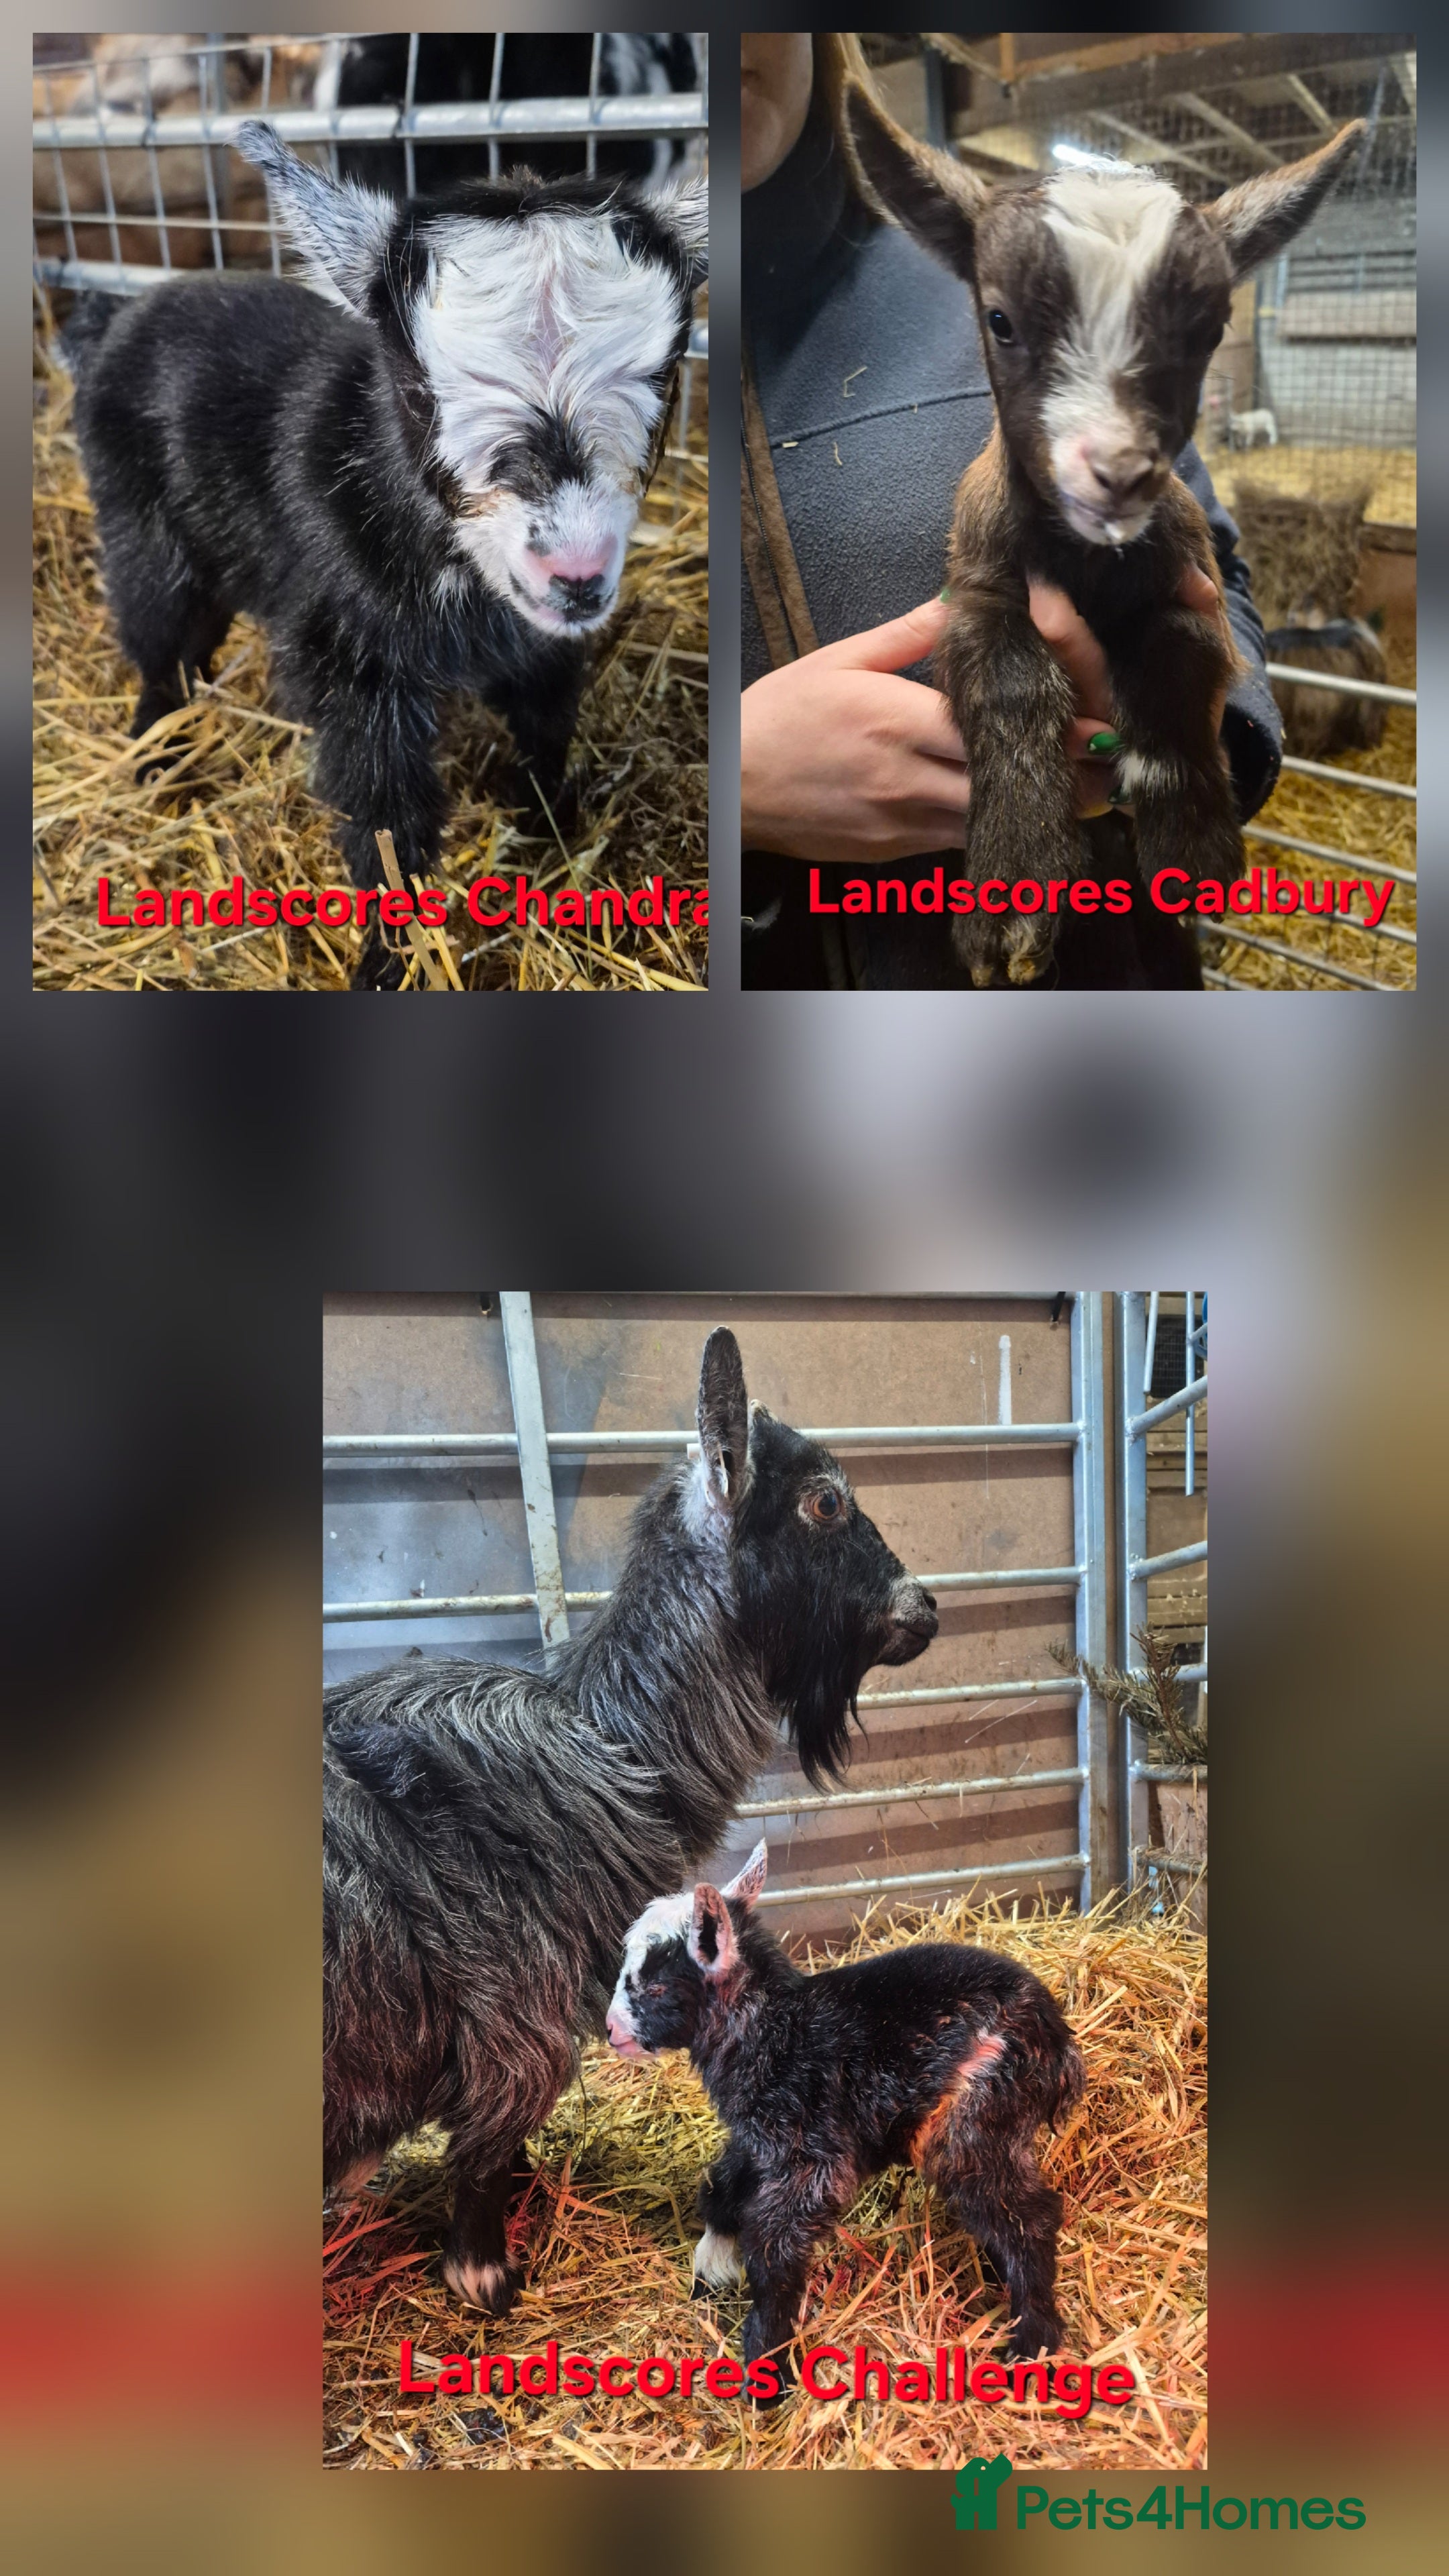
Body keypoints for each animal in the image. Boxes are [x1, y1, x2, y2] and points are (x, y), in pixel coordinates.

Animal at [63, 124, 705, 984]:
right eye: (418, 395)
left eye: (666, 373)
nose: (573, 576)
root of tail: (122, 315)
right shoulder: (350, 664)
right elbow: (385, 813)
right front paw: (390, 958)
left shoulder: (536, 638)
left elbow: (546, 715)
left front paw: (546, 818)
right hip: (136, 515)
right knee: (158, 629)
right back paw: (156, 749)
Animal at [323, 1329, 937, 2313]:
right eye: (825, 1500)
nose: (926, 1608)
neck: (611, 1745)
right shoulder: (515, 2023)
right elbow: (485, 2151)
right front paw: (487, 2276)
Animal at [607, 1843, 1083, 2397]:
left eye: (657, 1987)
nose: (611, 2030)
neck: (775, 2031)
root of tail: (1059, 2045)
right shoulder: (760, 2139)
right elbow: (720, 2188)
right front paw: (711, 2266)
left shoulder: (813, 2154)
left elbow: (772, 2244)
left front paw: (766, 2365)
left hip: (976, 2117)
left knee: (1027, 2217)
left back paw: (1032, 2342)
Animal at [842, 84, 1363, 988]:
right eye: (1001, 320)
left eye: (1210, 330)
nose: (1118, 471)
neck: (1087, 562)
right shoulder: (975, 594)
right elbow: (1011, 682)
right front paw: (1013, 895)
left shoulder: (1191, 585)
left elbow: (1175, 661)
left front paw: (1189, 847)